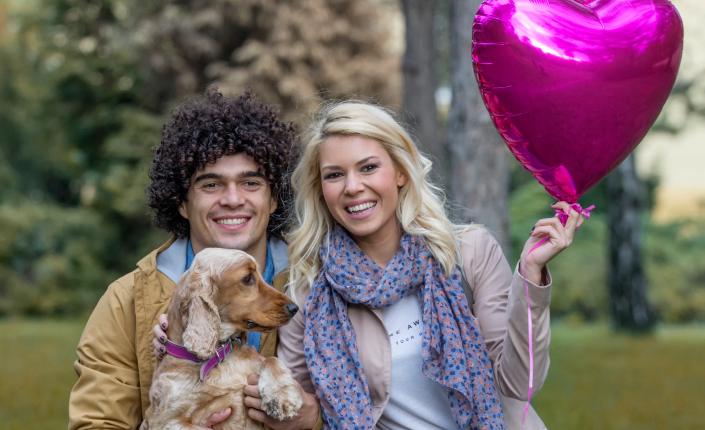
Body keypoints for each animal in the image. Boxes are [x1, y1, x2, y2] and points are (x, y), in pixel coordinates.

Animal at [140, 247, 302, 428]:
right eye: (247, 278)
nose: (294, 308)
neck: (219, 356)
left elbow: (271, 360)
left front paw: (281, 398)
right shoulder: (165, 420)